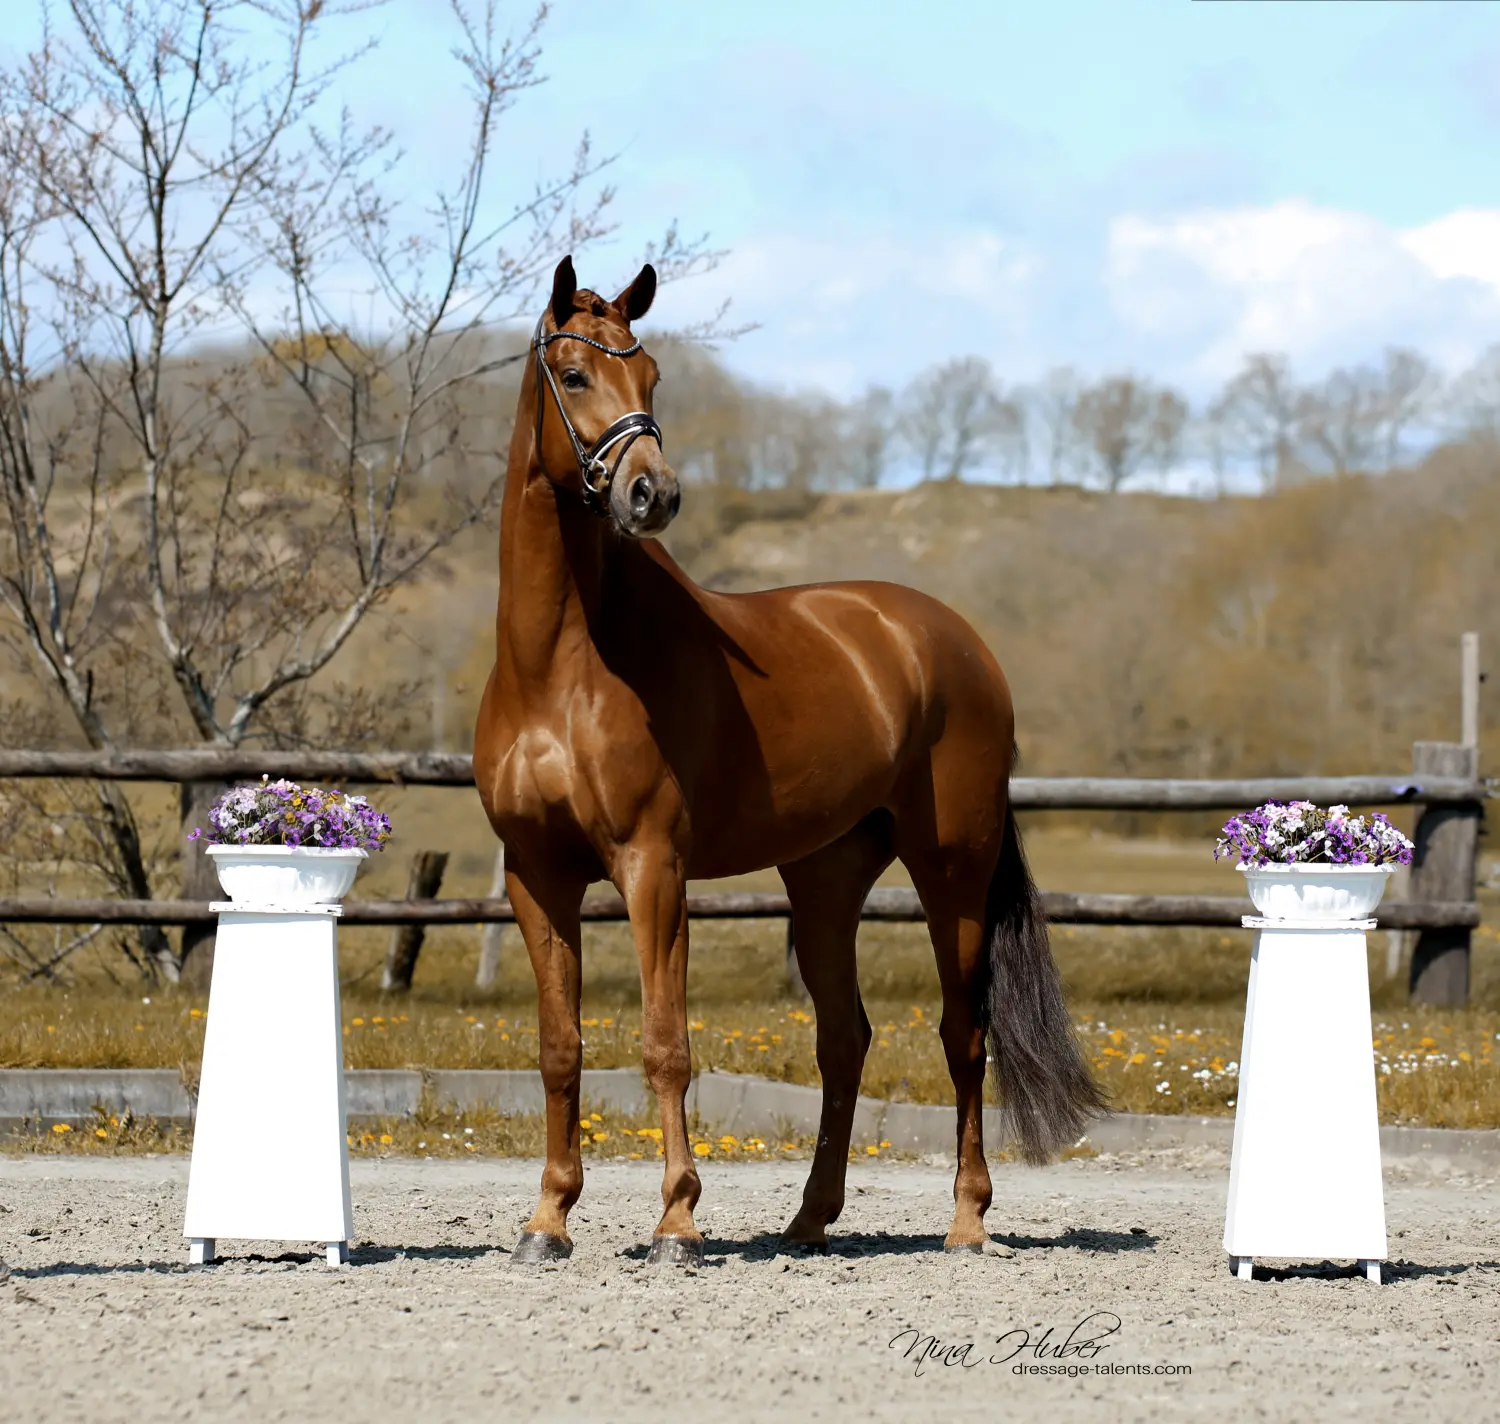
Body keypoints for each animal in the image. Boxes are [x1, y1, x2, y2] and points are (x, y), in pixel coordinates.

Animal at [473, 256, 1104, 1266]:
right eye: (573, 375)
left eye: (651, 378)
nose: (654, 494)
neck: (561, 667)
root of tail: (955, 642)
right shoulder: (537, 875)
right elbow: (559, 1047)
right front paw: (548, 1220)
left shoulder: (654, 868)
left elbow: (665, 1044)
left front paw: (677, 1222)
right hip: (825, 882)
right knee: (845, 1038)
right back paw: (809, 1219)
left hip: (953, 873)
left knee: (962, 1035)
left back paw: (967, 1220)